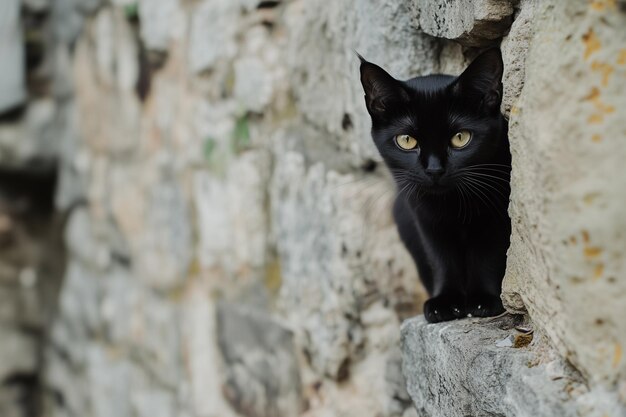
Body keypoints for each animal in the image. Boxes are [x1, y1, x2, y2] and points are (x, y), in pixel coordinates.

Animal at [358, 48, 510, 322]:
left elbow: (488, 256)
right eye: (406, 140)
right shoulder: (425, 220)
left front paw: (483, 300)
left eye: (460, 138)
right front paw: (445, 302)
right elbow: (441, 259)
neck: (452, 205)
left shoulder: (496, 215)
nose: (434, 169)